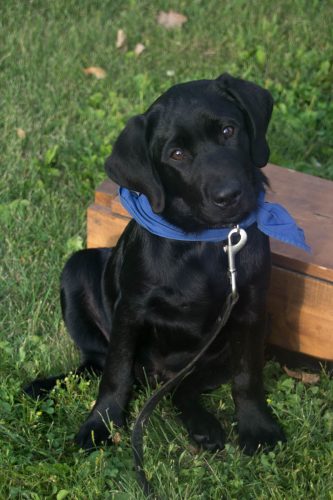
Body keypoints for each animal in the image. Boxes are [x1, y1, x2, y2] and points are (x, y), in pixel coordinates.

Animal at [26, 73, 286, 454]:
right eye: (177, 154)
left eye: (228, 130)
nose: (228, 196)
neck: (205, 241)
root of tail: (154, 377)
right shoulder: (130, 309)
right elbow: (115, 374)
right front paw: (100, 423)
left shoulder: (251, 308)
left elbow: (247, 376)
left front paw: (257, 426)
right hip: (77, 268)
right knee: (97, 362)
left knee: (182, 388)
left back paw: (203, 426)